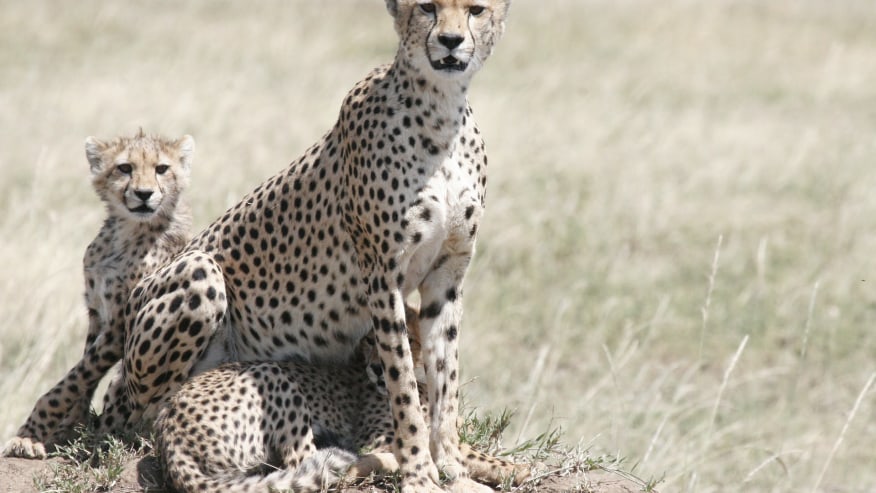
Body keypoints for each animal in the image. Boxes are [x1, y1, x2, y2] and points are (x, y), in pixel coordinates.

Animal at [3, 131, 195, 458]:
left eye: (162, 169)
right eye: (125, 168)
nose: (144, 194)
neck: (127, 232)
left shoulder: (120, 325)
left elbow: (73, 378)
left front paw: (29, 435)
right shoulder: (97, 312)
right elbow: (83, 373)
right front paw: (71, 426)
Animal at [106, 2, 510, 488]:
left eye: (476, 10)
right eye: (427, 8)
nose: (451, 42)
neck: (440, 111)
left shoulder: (447, 274)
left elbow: (444, 375)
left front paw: (451, 464)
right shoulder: (383, 274)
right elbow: (404, 384)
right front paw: (418, 471)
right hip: (200, 273)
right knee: (142, 415)